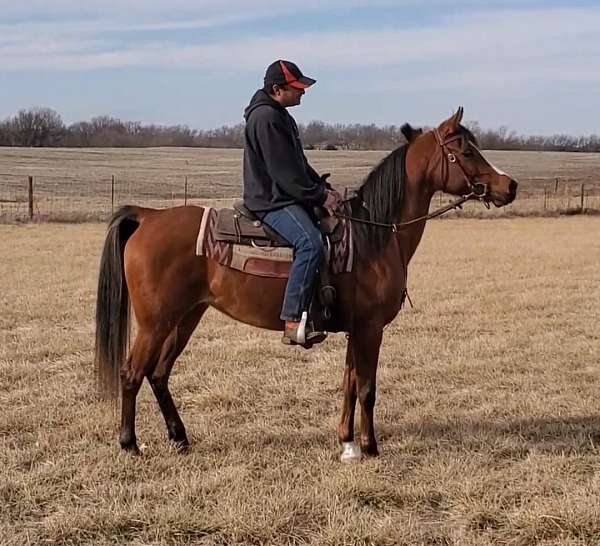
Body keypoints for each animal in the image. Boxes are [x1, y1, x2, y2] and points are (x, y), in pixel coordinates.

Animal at [94, 106, 516, 460]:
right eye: (466, 151)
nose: (509, 186)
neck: (375, 235)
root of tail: (148, 216)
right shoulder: (370, 328)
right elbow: (368, 388)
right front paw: (370, 447)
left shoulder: (356, 329)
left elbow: (349, 383)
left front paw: (347, 443)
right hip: (155, 322)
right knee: (132, 374)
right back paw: (130, 444)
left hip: (186, 317)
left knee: (159, 373)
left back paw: (179, 438)